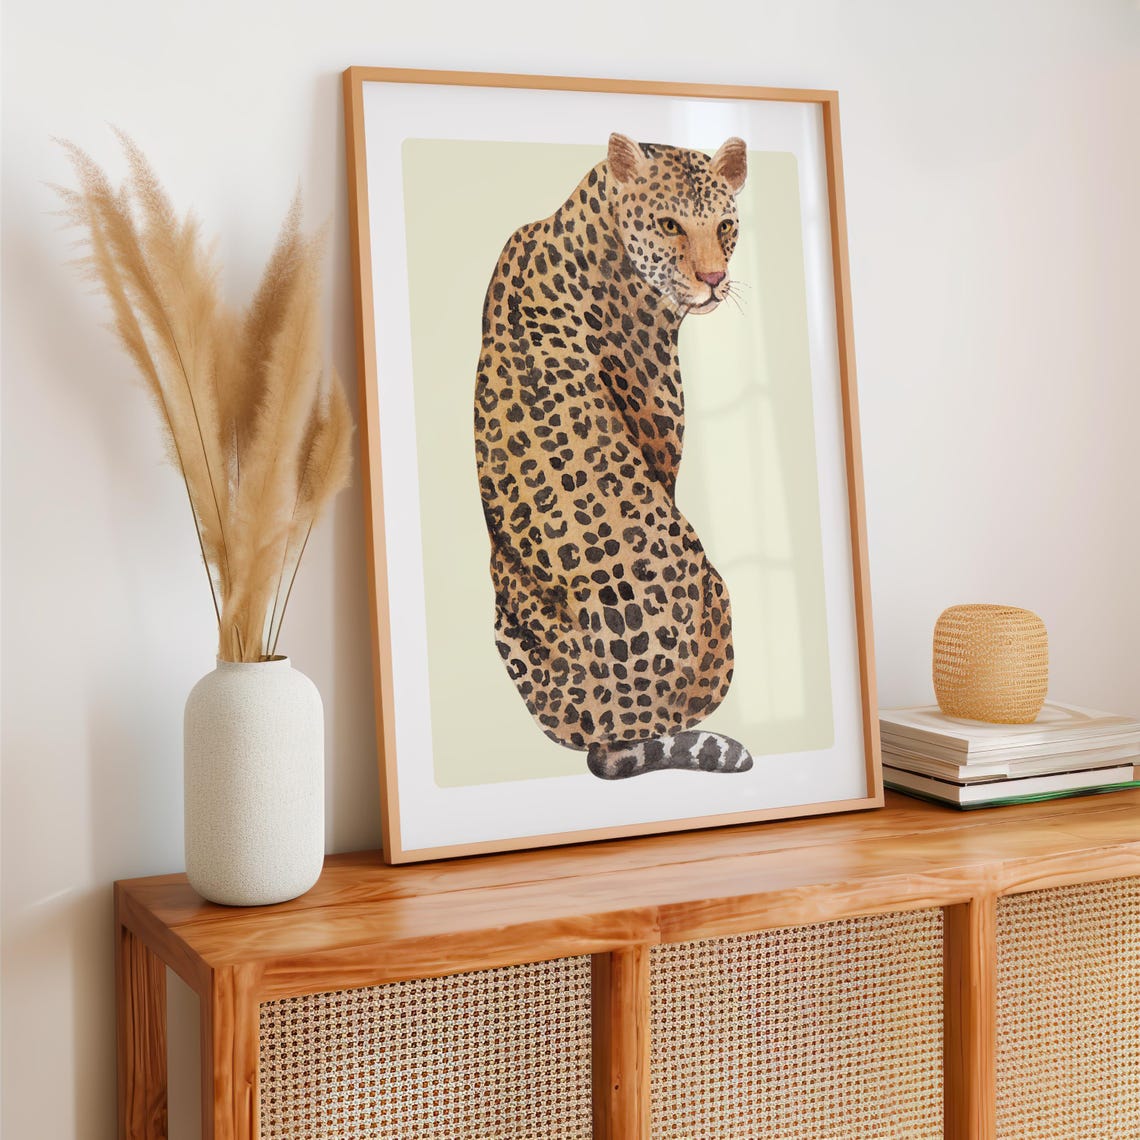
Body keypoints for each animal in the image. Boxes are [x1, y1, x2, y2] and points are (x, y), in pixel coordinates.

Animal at [474, 132, 752, 780]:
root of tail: (610, 725)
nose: (714, 278)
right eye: (669, 224)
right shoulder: (659, 431)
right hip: (717, 590)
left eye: (725, 225)